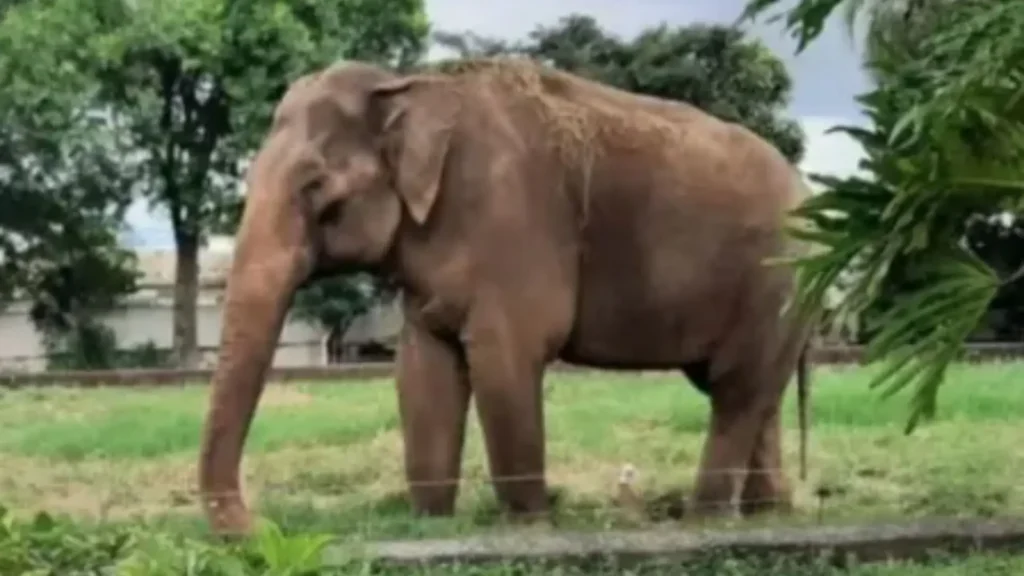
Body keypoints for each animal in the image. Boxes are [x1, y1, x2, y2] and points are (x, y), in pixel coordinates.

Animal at [197, 57, 815, 536]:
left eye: (316, 188)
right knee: (749, 390)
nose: (264, 527)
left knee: (736, 389)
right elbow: (422, 371)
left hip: (776, 279)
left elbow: (504, 360)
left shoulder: (512, 224)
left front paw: (529, 525)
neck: (409, 84)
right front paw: (430, 523)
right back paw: (767, 513)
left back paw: (705, 519)